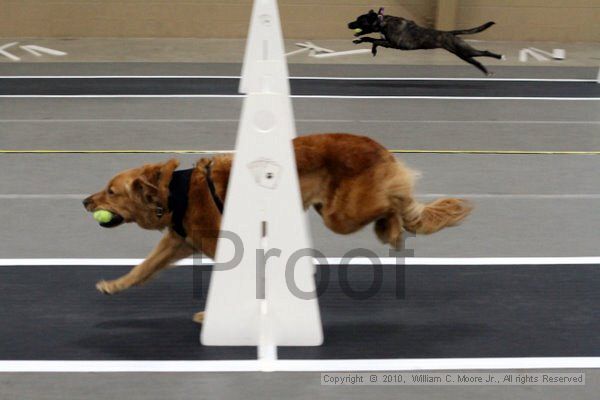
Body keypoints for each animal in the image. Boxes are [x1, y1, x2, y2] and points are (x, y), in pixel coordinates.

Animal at [82, 134, 472, 322]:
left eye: (111, 191)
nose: (85, 201)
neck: (177, 192)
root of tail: (378, 147)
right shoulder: (179, 242)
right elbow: (142, 269)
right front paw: (114, 285)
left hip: (341, 215)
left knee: (392, 201)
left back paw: (392, 230)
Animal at [350, 8, 504, 76]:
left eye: (360, 20)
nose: (348, 24)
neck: (382, 22)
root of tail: (450, 33)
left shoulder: (393, 44)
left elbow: (373, 40)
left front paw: (367, 46)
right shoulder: (386, 41)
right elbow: (372, 40)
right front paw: (366, 45)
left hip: (464, 51)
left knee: (484, 52)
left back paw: (499, 57)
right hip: (463, 54)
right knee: (476, 61)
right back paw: (486, 71)